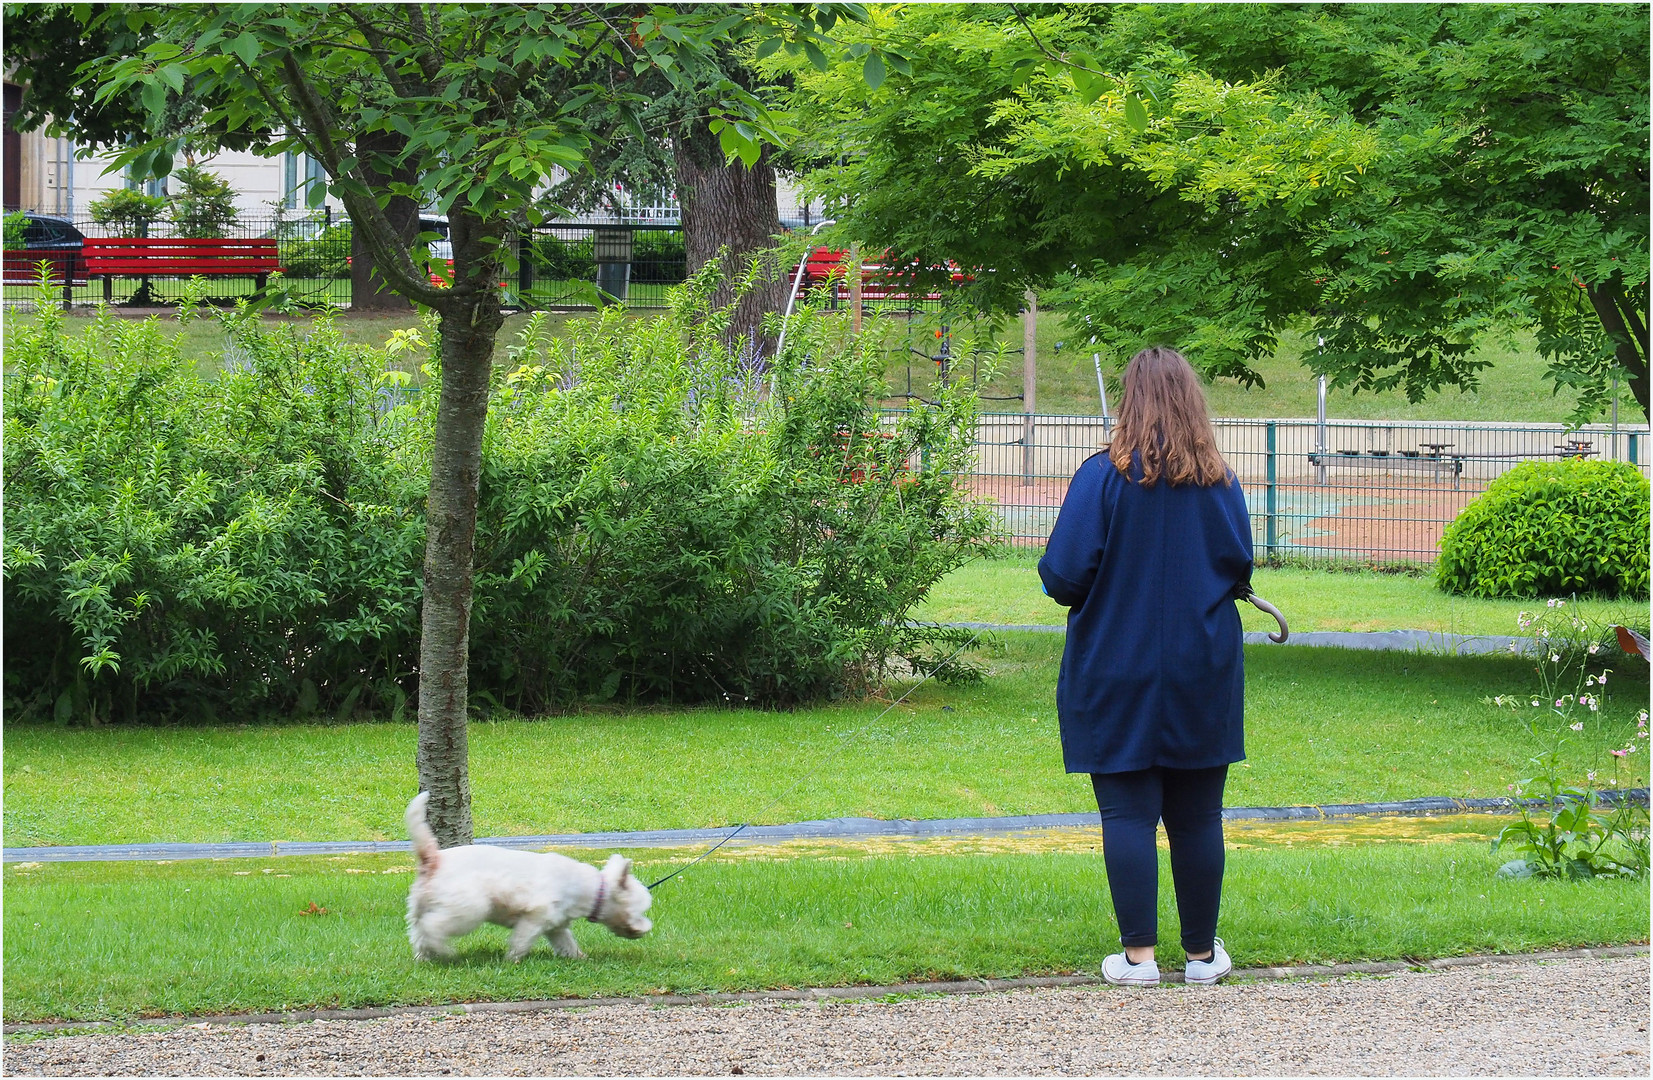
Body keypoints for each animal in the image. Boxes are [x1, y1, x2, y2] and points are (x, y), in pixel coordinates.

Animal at [403, 787, 654, 959]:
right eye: (641, 910)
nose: (646, 930)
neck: (592, 890)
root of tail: (434, 859)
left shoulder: (556, 926)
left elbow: (567, 944)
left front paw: (579, 958)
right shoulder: (535, 917)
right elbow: (521, 941)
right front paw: (512, 960)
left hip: (419, 907)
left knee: (419, 934)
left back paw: (425, 957)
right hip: (468, 909)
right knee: (433, 927)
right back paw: (444, 951)